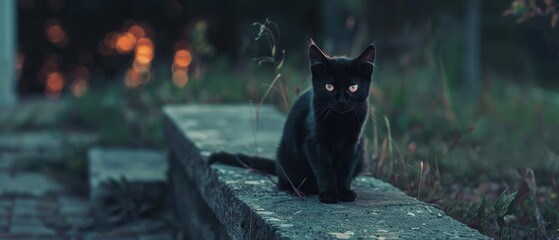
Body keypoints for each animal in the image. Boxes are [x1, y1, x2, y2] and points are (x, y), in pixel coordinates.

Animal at [210, 42, 376, 203]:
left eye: (353, 87)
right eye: (329, 87)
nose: (341, 101)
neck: (340, 121)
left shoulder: (353, 145)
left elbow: (346, 170)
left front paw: (344, 192)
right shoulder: (313, 142)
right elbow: (324, 169)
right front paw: (329, 193)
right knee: (284, 181)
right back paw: (299, 190)